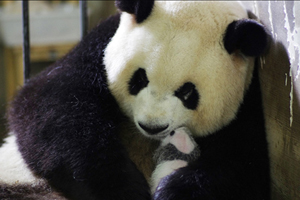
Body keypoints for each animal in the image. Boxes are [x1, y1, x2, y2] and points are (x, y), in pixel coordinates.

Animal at [0, 0, 270, 199]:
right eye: (139, 78)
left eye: (187, 92)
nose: (152, 126)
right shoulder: (99, 46)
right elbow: (53, 106)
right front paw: (124, 189)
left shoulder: (248, 97)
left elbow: (243, 165)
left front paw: (173, 191)